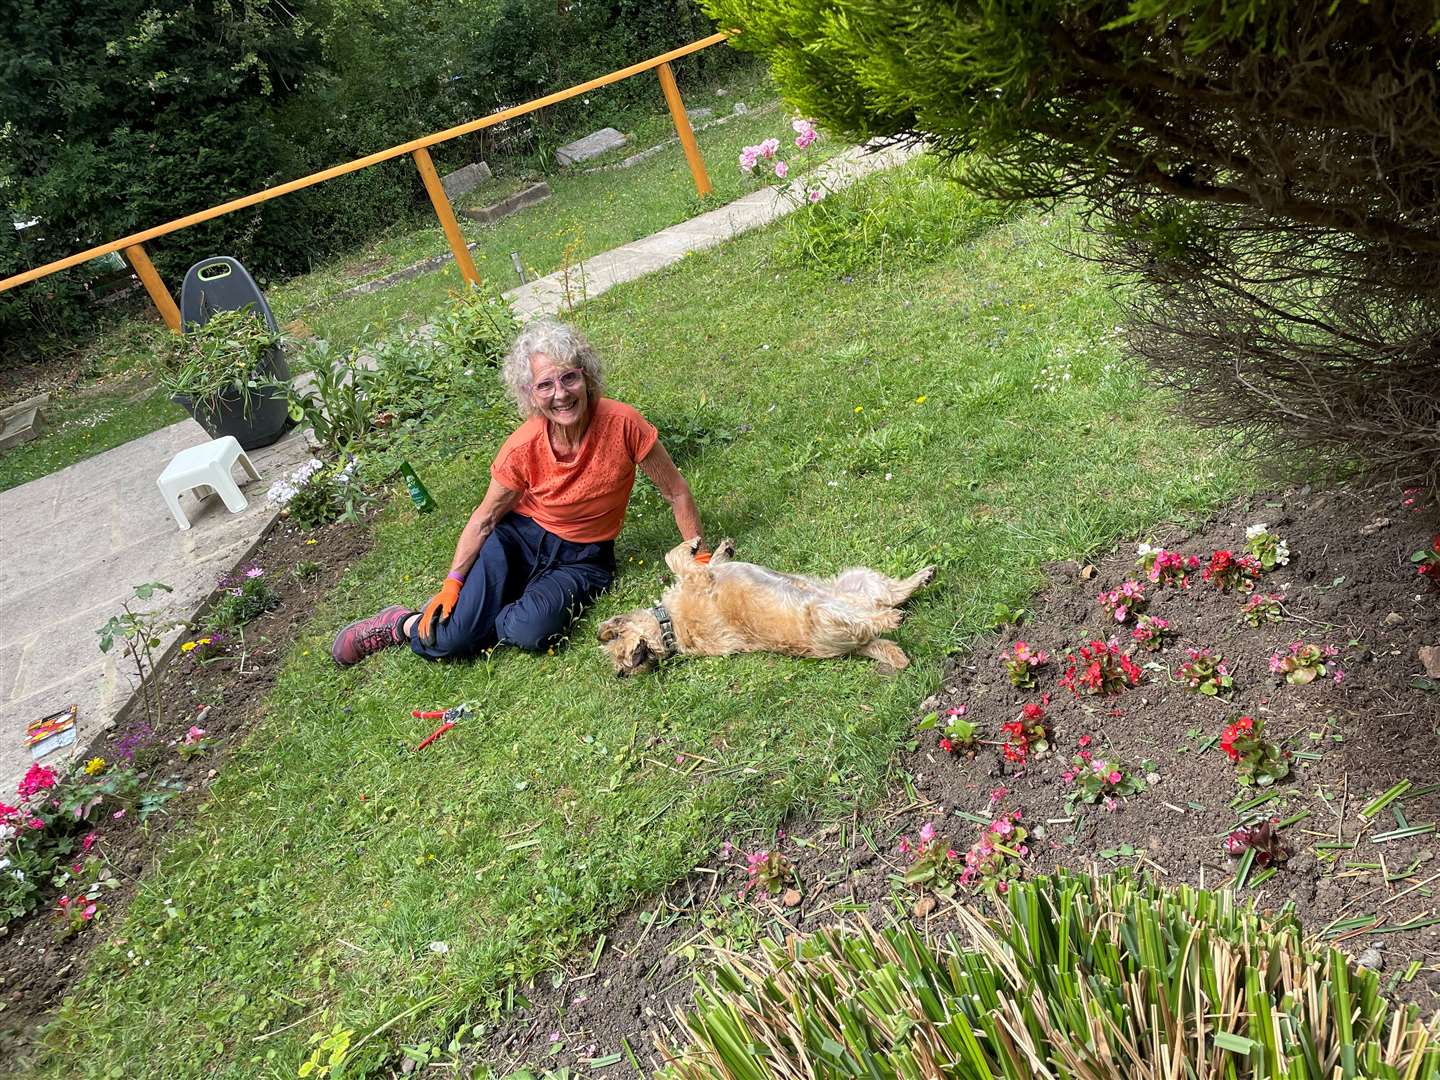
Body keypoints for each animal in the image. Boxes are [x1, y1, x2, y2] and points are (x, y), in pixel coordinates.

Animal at [596, 538, 933, 679]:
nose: (620, 675)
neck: (669, 629)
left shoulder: (703, 575)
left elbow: (695, 559)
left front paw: (720, 548)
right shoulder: (698, 577)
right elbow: (674, 557)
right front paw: (692, 544)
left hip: (860, 579)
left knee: (895, 592)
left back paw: (921, 578)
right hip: (827, 615)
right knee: (872, 618)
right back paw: (891, 618)